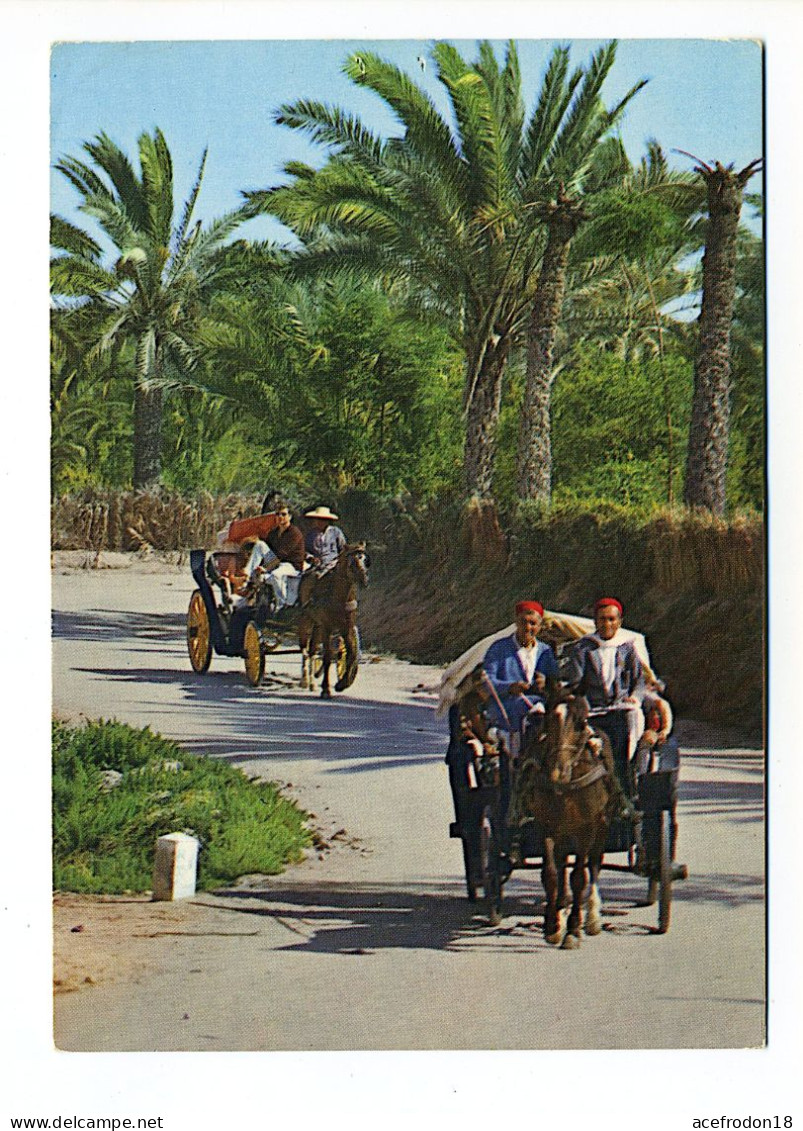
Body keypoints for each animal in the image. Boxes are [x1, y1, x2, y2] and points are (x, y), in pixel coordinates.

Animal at [298, 540, 370, 692]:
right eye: (352, 562)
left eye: (366, 560)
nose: (364, 580)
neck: (339, 597)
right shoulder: (327, 627)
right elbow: (327, 656)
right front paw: (326, 689)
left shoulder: (347, 627)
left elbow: (351, 654)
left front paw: (342, 683)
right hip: (307, 620)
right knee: (305, 649)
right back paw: (305, 680)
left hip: (318, 626)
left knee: (312, 650)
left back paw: (312, 682)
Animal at [513, 687, 619, 945]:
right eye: (549, 720)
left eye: (580, 723)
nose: (557, 773)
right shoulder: (546, 824)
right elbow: (551, 873)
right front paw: (553, 925)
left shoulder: (587, 828)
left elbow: (580, 875)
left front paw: (572, 930)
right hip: (563, 829)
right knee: (562, 863)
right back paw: (562, 906)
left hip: (602, 823)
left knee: (594, 863)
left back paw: (591, 917)